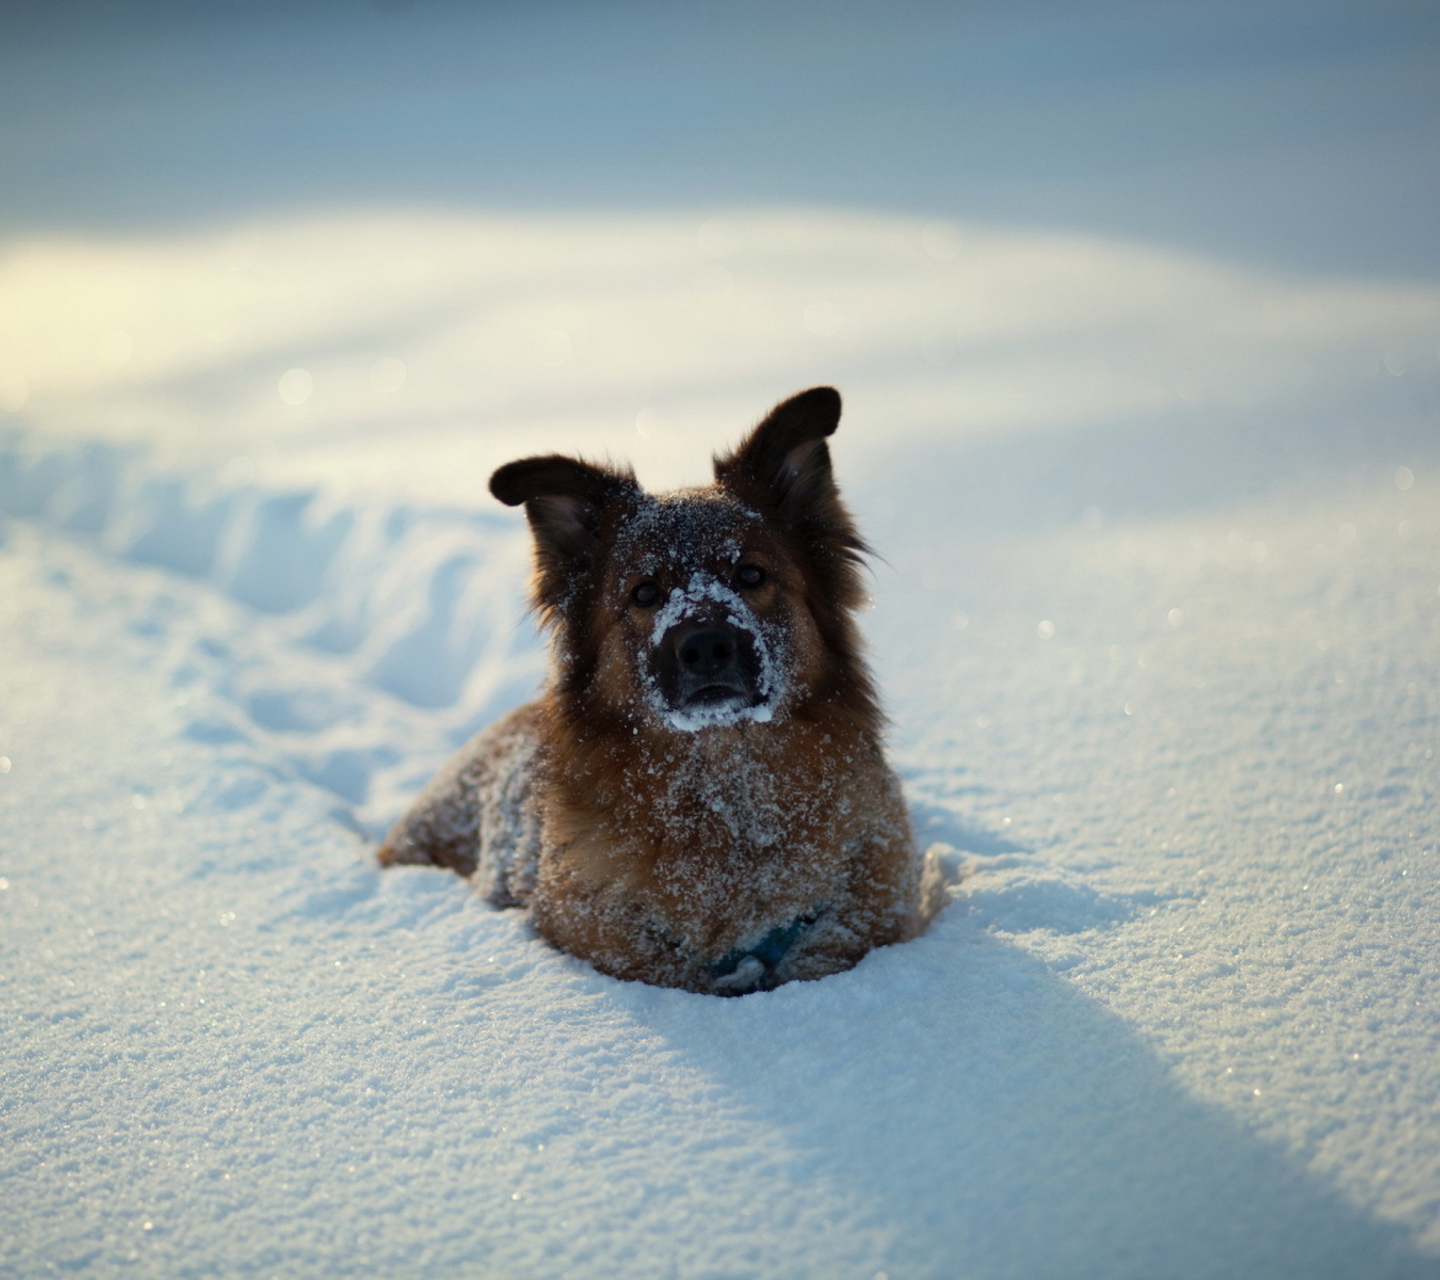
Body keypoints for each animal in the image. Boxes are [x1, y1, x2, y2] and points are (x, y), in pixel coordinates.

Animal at [377, 385, 938, 996]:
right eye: (644, 592)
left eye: (751, 575)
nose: (706, 646)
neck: (725, 796)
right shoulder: (589, 921)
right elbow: (667, 971)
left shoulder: (876, 894)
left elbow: (832, 949)